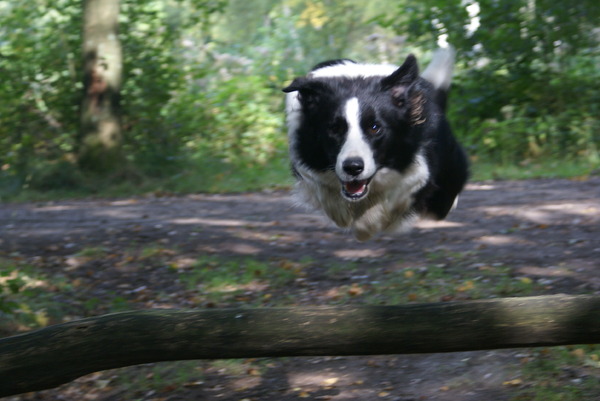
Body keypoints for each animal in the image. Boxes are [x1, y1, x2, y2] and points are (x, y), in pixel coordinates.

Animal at [284, 48, 472, 239]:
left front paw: (368, 223)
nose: (353, 168)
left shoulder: (418, 166)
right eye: (335, 128)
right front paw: (346, 214)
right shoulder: (307, 162)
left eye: (375, 128)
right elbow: (324, 190)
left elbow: (400, 191)